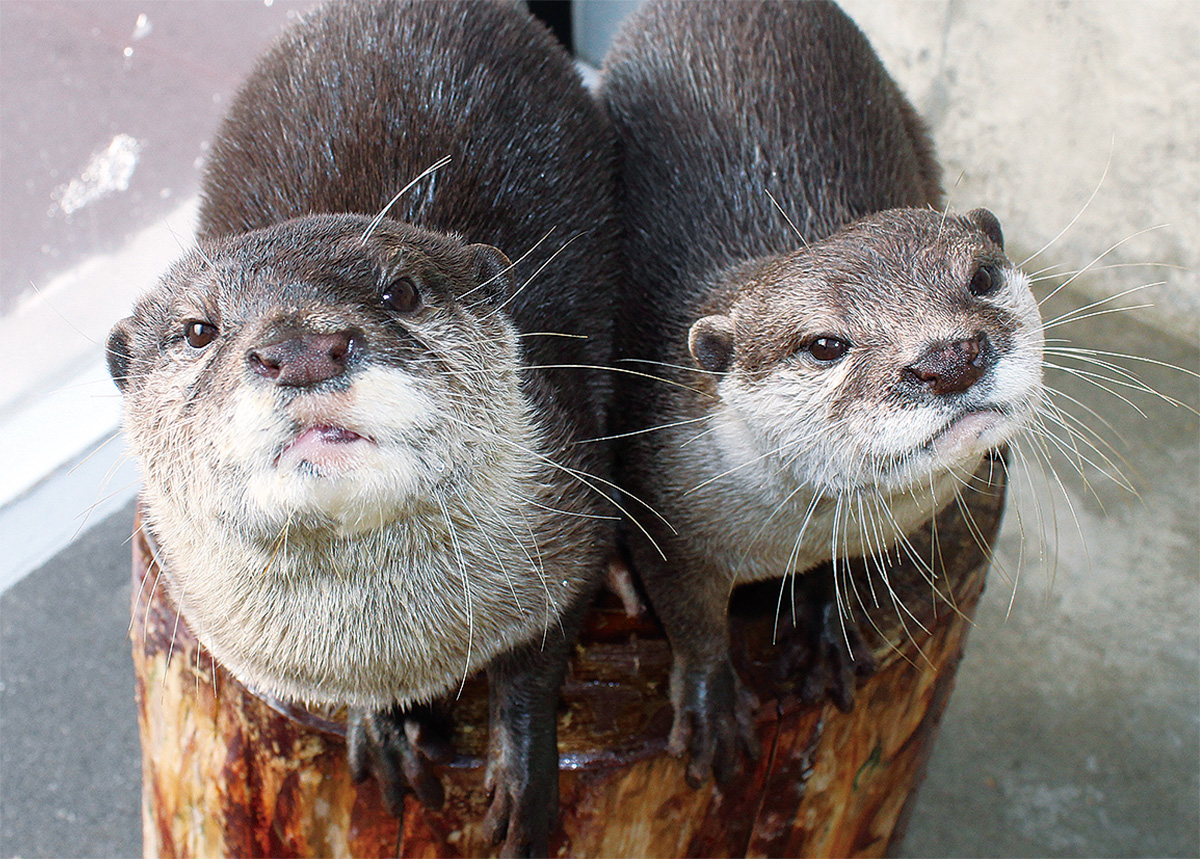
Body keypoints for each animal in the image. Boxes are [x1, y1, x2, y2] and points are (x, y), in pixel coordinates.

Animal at [105, 0, 619, 854]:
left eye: (401, 290)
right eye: (198, 330)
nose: (302, 348)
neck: (393, 649)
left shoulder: (573, 517)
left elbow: (537, 661)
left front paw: (521, 777)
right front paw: (381, 731)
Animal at [597, 0, 1041, 787]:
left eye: (983, 277)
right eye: (826, 345)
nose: (948, 358)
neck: (787, 539)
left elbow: (856, 576)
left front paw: (831, 634)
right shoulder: (668, 510)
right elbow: (691, 617)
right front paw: (712, 709)